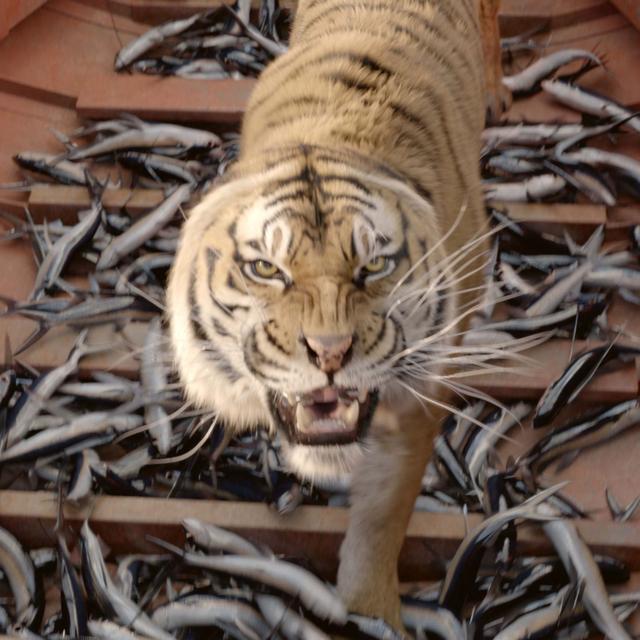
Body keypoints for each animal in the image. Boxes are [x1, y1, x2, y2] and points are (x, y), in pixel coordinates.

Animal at [168, 0, 508, 632]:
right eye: (266, 268)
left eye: (374, 265)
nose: (329, 351)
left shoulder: (420, 398)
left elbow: (385, 513)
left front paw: (371, 610)